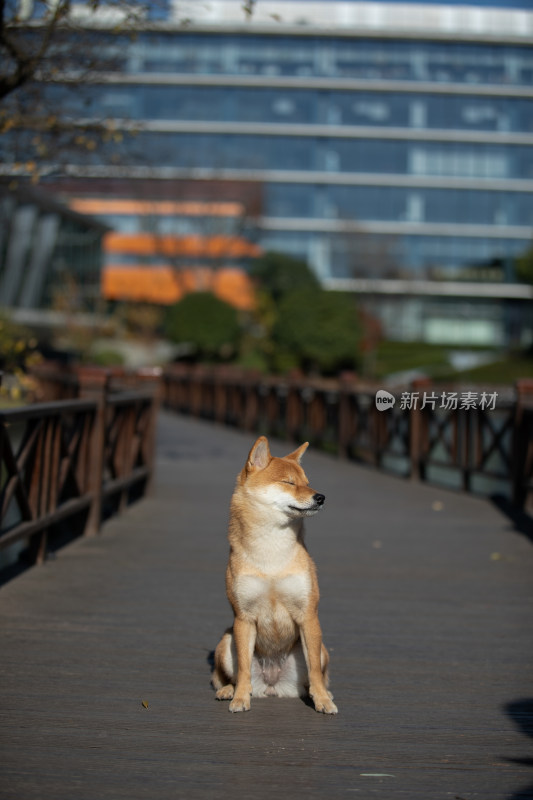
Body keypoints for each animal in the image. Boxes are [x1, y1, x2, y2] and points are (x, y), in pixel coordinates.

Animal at [212, 434, 336, 716]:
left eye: (307, 482)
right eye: (289, 482)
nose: (321, 497)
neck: (271, 553)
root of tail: (272, 684)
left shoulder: (308, 615)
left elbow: (315, 670)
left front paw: (322, 700)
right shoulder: (243, 618)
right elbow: (243, 668)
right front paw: (240, 698)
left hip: (321, 648)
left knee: (316, 675)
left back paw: (322, 693)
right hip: (226, 642)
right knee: (227, 676)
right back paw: (229, 691)